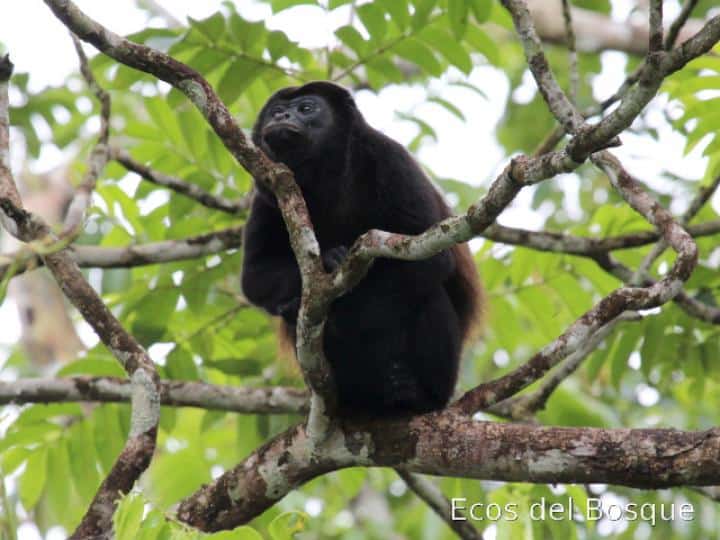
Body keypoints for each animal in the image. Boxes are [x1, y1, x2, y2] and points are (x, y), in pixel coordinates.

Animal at [241, 81, 481, 415]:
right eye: (276, 111)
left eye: (306, 108)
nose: (282, 116)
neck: (324, 176)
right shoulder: (268, 193)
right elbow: (254, 277)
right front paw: (329, 260)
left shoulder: (389, 157)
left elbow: (432, 261)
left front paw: (338, 315)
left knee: (429, 293)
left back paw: (416, 395)